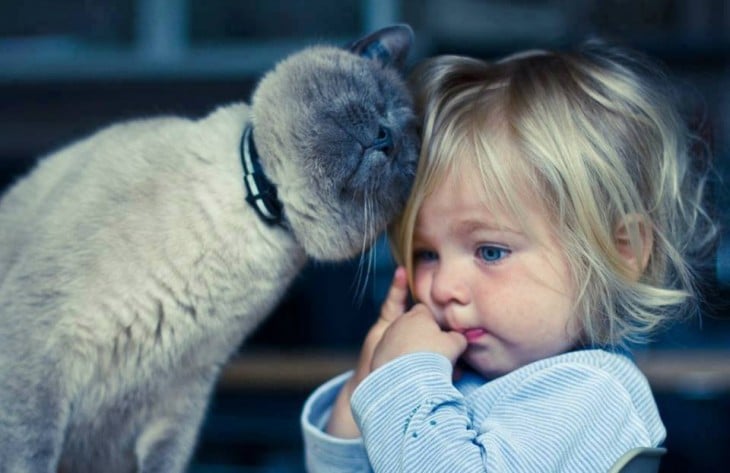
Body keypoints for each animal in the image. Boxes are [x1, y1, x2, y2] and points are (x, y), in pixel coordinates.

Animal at [0, 24, 418, 472]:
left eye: (406, 162)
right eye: (378, 100)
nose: (386, 138)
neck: (251, 211)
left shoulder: (183, 395)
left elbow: (166, 461)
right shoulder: (39, 354)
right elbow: (29, 454)